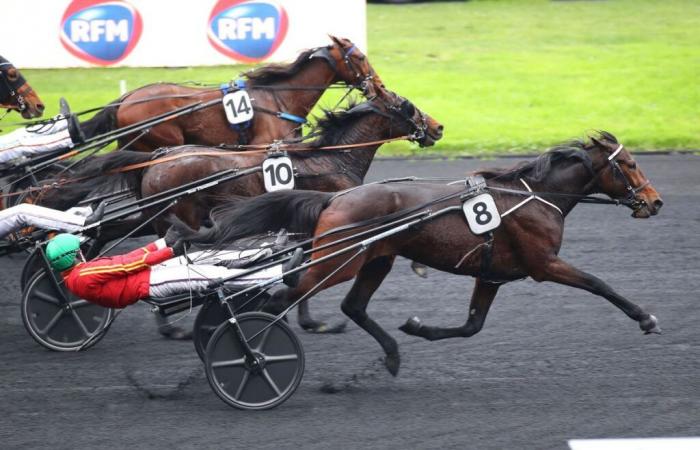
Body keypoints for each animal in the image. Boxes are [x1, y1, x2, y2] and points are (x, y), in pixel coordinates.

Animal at [79, 35, 386, 151]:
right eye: (359, 57)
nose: (379, 87)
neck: (280, 99)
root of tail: (126, 99)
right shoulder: (260, 146)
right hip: (163, 140)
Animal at [190, 131, 660, 376]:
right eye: (630, 164)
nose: (654, 202)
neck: (534, 196)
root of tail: (334, 199)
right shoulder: (543, 263)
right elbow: (598, 283)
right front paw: (645, 318)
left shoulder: (491, 274)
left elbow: (471, 326)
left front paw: (419, 327)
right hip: (340, 260)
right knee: (282, 297)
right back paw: (250, 355)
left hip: (376, 258)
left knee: (350, 305)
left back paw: (392, 354)